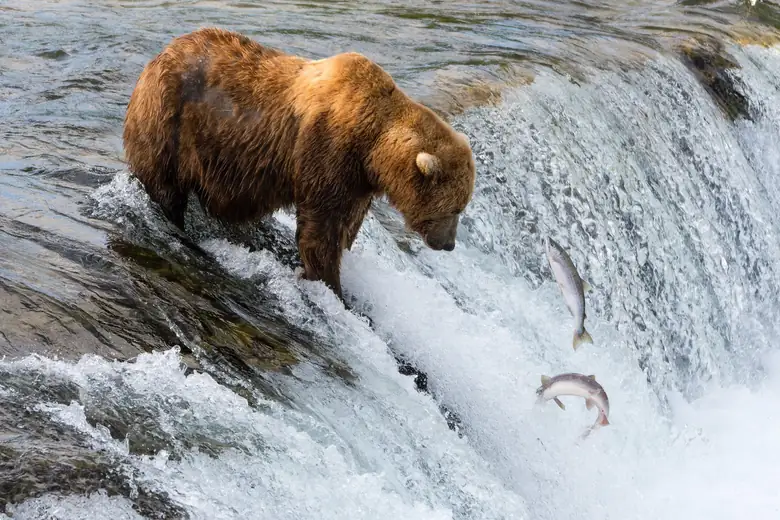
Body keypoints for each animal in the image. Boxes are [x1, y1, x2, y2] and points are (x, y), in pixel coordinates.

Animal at [123, 27, 476, 300]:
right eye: (455, 208)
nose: (449, 244)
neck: (373, 145)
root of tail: (156, 58)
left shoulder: (357, 181)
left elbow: (347, 225)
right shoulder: (328, 149)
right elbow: (321, 230)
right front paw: (331, 285)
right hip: (170, 120)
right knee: (164, 185)